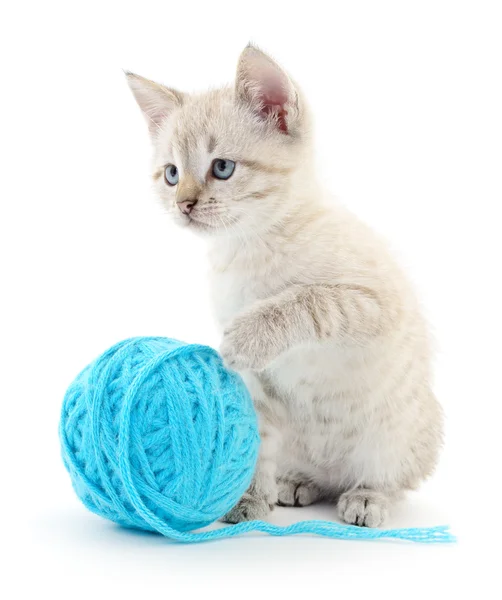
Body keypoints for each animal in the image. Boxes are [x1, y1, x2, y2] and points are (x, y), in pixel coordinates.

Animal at [126, 44, 444, 528]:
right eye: (171, 174)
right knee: (313, 474)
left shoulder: (374, 302)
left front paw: (251, 333)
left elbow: (310, 300)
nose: (183, 205)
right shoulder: (257, 389)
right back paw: (295, 483)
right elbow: (255, 442)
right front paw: (248, 502)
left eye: (222, 168)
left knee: (386, 477)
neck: (246, 249)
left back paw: (366, 498)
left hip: (398, 433)